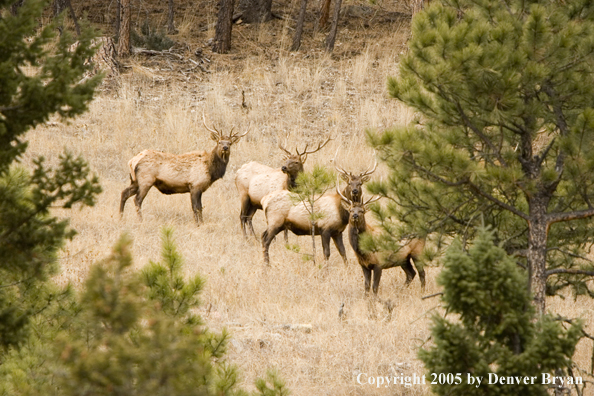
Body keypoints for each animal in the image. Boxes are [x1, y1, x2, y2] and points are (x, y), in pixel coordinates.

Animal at [119, 112, 249, 223]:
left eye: (230, 143)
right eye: (219, 142)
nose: (225, 148)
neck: (210, 169)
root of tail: (132, 161)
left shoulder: (198, 187)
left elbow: (199, 208)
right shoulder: (195, 185)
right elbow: (196, 208)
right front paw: (199, 224)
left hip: (135, 181)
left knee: (124, 193)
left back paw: (121, 217)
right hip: (146, 180)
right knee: (137, 199)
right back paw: (140, 220)